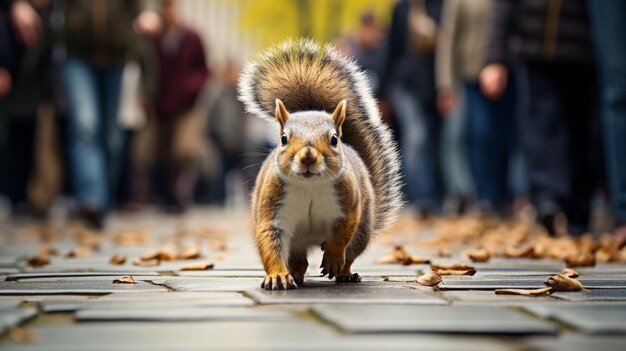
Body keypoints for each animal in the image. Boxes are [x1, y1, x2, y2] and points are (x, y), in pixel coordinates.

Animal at [239, 39, 400, 292]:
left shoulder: (349, 202)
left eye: (334, 139)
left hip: (362, 233)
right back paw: (294, 274)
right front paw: (277, 276)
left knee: (349, 254)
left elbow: (343, 232)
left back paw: (346, 273)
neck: (310, 186)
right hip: (295, 241)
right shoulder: (272, 208)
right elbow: (269, 239)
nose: (307, 157)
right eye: (283, 138)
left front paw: (333, 258)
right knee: (299, 260)